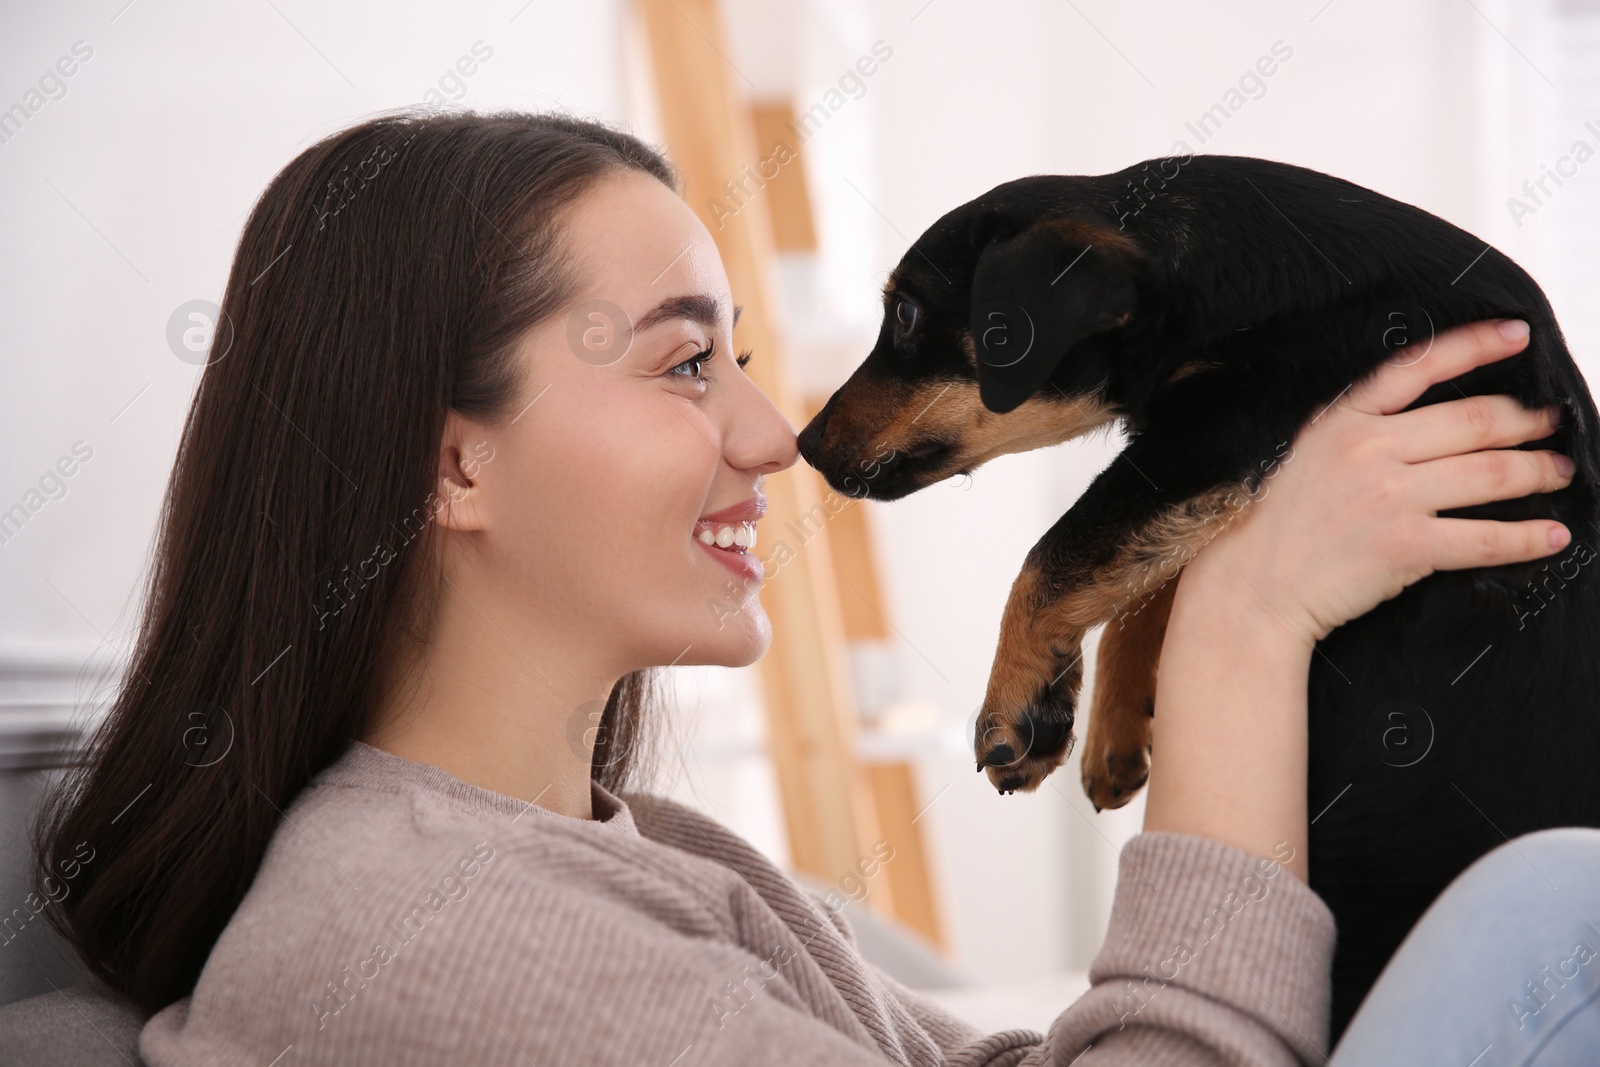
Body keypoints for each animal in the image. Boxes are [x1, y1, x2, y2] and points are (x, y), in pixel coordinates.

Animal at [796, 154, 1600, 1036]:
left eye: (906, 313)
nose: (803, 443)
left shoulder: (1218, 431)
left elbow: (1057, 551)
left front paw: (1018, 704)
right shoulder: (1207, 466)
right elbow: (1149, 579)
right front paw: (1112, 726)